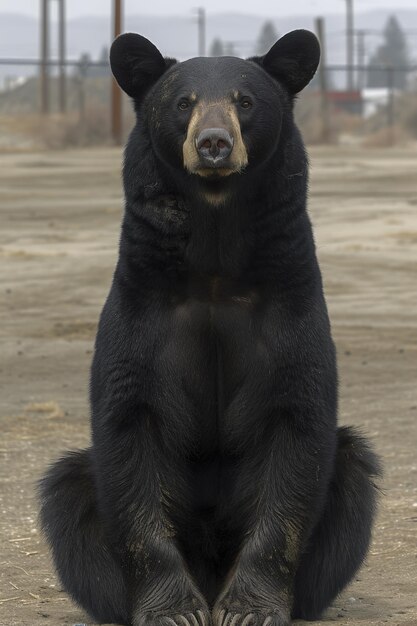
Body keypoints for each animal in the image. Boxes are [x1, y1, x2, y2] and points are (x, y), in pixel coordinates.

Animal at [39, 30, 380, 624]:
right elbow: (129, 424)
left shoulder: (290, 298)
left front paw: (250, 608)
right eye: (183, 103)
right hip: (77, 487)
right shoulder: (142, 302)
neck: (216, 255)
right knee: (72, 497)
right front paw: (174, 609)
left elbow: (298, 423)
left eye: (245, 101)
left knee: (351, 477)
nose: (214, 144)